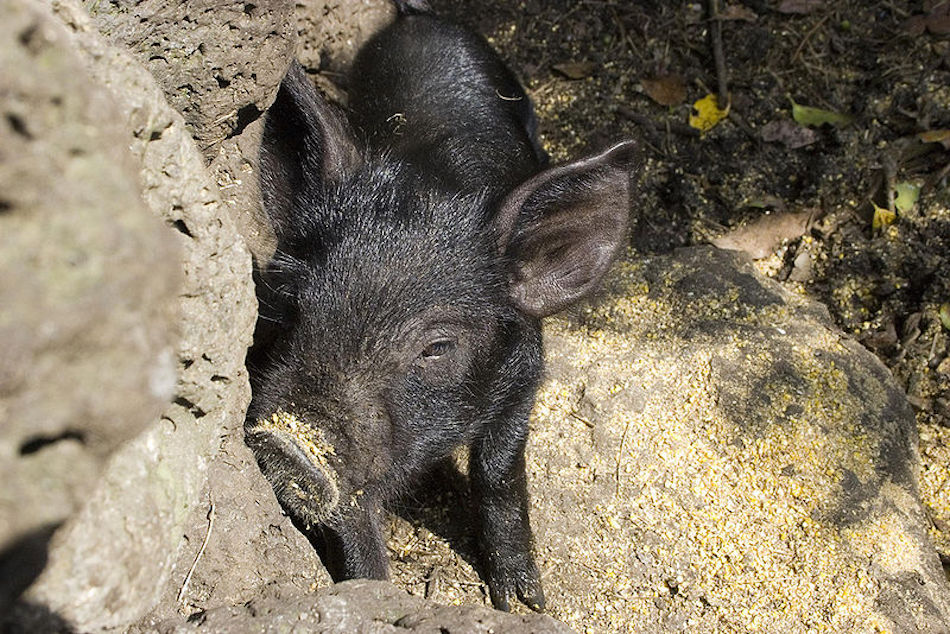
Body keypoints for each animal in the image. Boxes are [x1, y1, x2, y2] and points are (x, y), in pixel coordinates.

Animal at [245, 0, 636, 612]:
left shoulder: (523, 373)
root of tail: (417, 17)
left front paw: (523, 602)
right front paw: (378, 597)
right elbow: (354, 519)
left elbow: (499, 472)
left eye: (437, 347)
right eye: (293, 305)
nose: (287, 443)